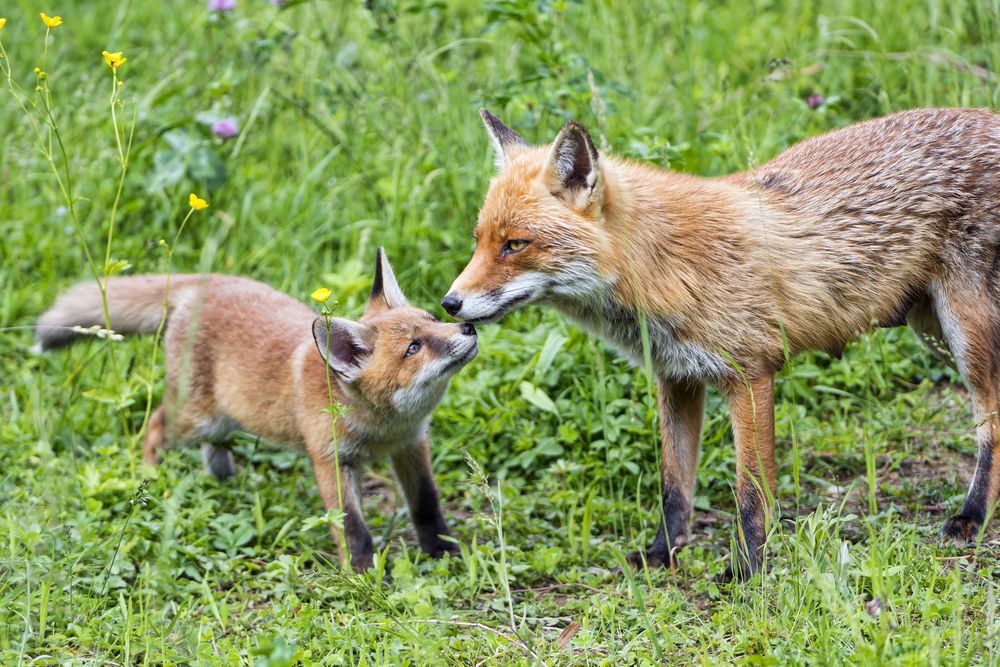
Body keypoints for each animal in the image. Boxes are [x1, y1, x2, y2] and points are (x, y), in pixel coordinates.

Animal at [39, 248, 476, 572]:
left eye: (432, 319)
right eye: (413, 348)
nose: (468, 327)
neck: (382, 429)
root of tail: (207, 282)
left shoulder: (411, 444)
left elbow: (426, 505)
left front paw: (443, 552)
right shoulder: (331, 460)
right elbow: (353, 528)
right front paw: (362, 574)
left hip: (220, 421)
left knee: (213, 449)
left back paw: (224, 483)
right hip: (194, 418)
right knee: (154, 427)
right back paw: (152, 480)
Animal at [444, 107, 1000, 576]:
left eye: (515, 245)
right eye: (479, 241)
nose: (450, 304)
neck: (662, 267)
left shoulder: (751, 375)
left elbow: (751, 494)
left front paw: (746, 569)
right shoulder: (676, 378)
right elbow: (674, 487)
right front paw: (662, 555)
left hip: (964, 334)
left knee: (990, 422)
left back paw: (971, 517)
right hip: (933, 332)